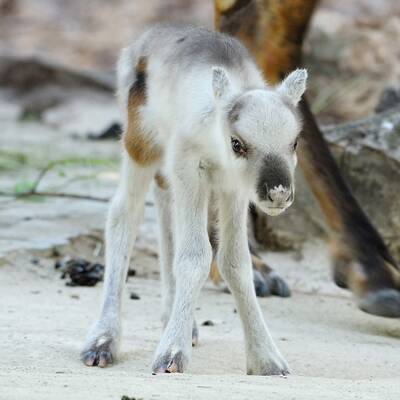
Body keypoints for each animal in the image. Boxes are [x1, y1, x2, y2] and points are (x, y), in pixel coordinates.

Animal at [80, 25, 306, 376]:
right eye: (237, 143)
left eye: (294, 142)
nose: (278, 193)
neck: (215, 146)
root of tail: (140, 41)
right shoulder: (187, 167)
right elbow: (195, 257)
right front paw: (171, 354)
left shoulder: (233, 189)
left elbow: (235, 262)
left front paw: (267, 360)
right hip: (139, 142)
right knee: (124, 213)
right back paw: (103, 341)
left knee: (163, 204)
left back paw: (175, 320)